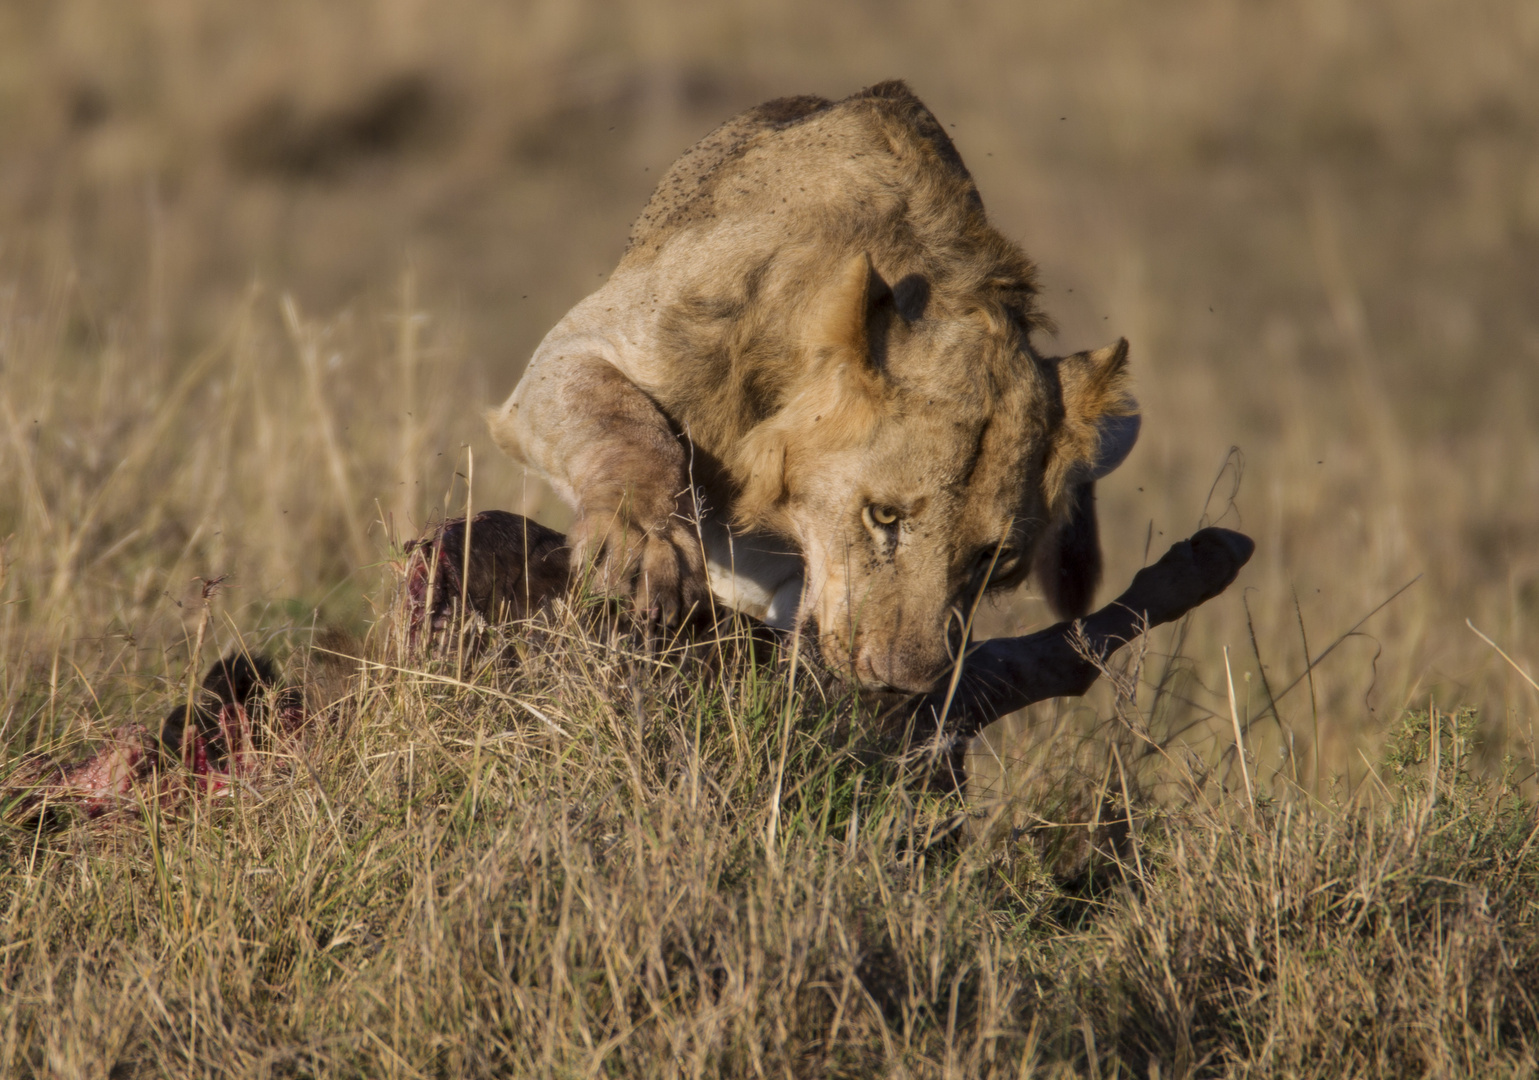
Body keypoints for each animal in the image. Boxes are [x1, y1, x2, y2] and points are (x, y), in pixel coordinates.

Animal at [486, 82, 1138, 695]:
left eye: (993, 556)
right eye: (882, 515)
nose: (902, 683)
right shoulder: (572, 354)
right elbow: (628, 428)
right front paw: (646, 548)